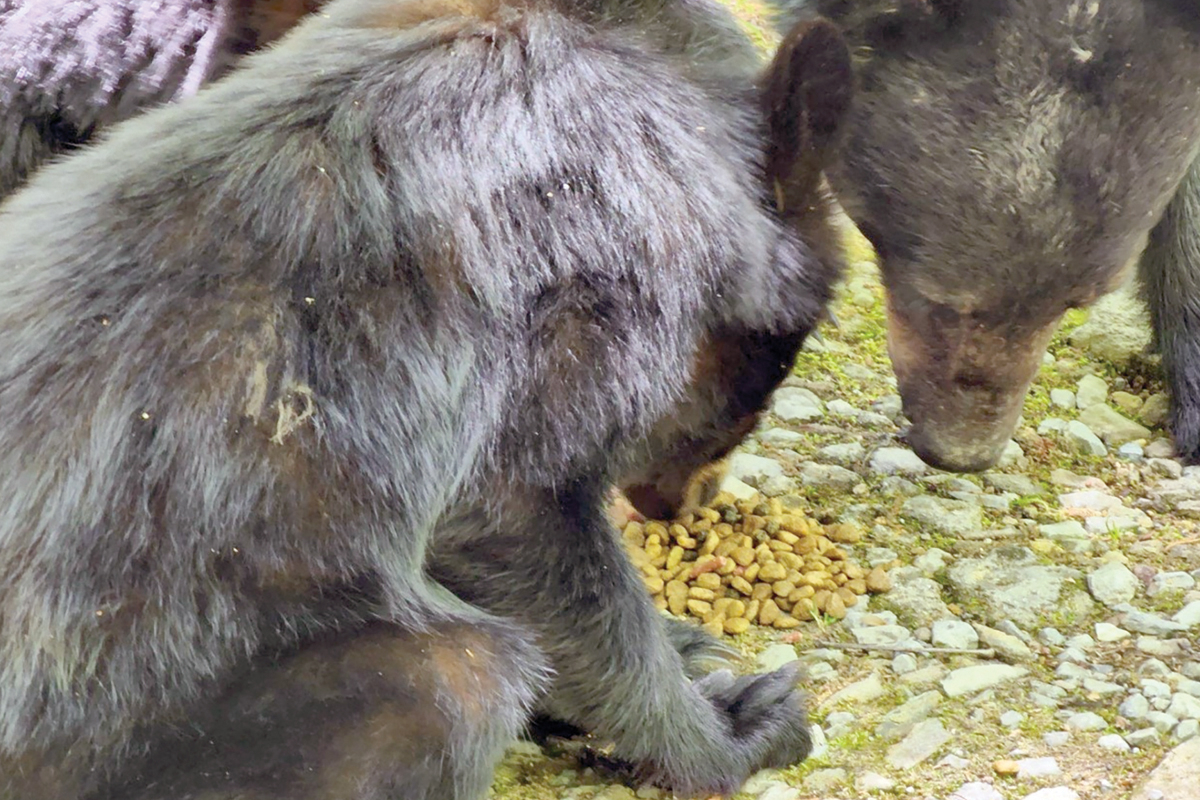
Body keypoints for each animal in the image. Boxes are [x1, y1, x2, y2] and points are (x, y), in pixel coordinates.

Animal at [0, 1, 854, 800]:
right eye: (765, 381)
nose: (688, 506)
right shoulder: (594, 270)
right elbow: (515, 506)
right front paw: (721, 732)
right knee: (463, 673)